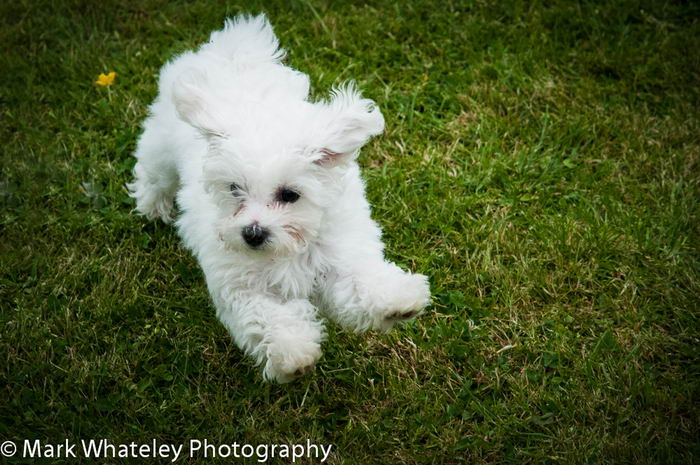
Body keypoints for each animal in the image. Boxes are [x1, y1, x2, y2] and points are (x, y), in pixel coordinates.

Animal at [128, 15, 430, 384]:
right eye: (234, 189)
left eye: (290, 195)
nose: (252, 234)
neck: (288, 248)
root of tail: (233, 51)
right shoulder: (242, 285)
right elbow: (269, 316)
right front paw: (293, 355)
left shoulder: (338, 256)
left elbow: (358, 281)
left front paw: (396, 301)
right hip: (160, 146)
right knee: (154, 173)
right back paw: (153, 207)